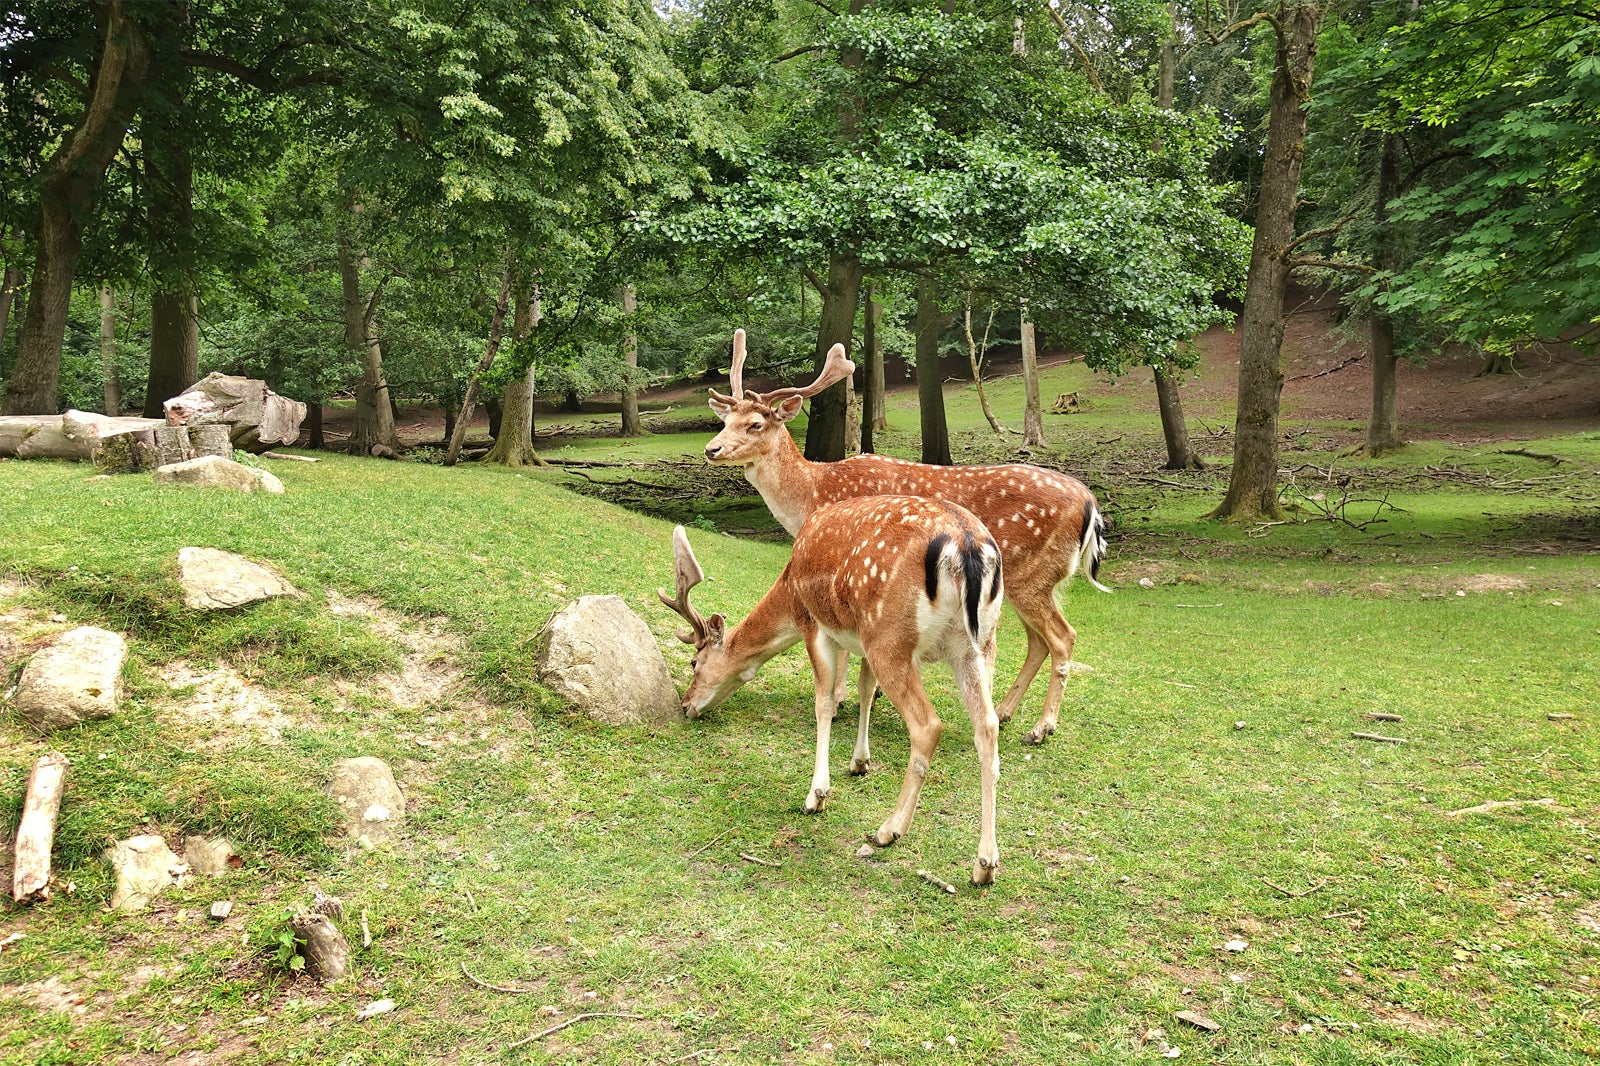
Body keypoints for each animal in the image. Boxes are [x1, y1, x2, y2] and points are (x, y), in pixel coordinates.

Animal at [656, 502, 1004, 883]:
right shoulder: (860, 639)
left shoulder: (813, 624)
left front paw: (817, 795)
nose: (685, 704)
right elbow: (865, 690)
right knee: (987, 726)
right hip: (976, 645)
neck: (788, 586)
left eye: (694, 662)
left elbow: (823, 703)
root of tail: (967, 546)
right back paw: (985, 864)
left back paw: (889, 830)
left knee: (928, 725)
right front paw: (859, 762)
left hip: (891, 637)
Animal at [707, 328, 1107, 742]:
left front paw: (841, 701)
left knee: (1063, 637)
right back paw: (1006, 711)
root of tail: (1091, 504)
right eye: (724, 420)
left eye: (756, 424)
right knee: (1037, 642)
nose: (711, 449)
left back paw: (1042, 727)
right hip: (1029, 583)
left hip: (1033, 576)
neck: (813, 495)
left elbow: (844, 645)